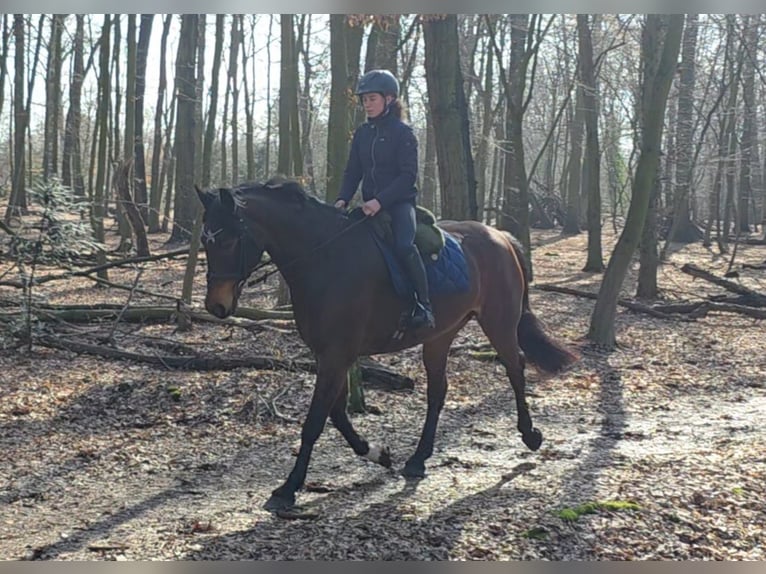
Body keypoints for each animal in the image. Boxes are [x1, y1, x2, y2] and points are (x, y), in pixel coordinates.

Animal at [197, 178, 578, 511]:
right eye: (206, 240)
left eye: (229, 240)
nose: (216, 306)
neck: (325, 259)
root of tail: (500, 236)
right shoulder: (331, 355)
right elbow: (337, 414)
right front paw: (377, 453)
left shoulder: (336, 356)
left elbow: (315, 421)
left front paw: (288, 489)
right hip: (440, 336)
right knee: (438, 390)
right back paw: (418, 458)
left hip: (499, 322)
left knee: (515, 366)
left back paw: (530, 435)